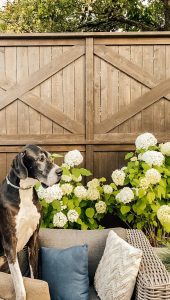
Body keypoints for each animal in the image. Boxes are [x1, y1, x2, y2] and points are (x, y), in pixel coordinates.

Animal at [0, 144, 62, 298]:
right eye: (40, 159)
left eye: (50, 158)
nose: (60, 172)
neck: (24, 191)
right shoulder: (10, 244)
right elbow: (20, 284)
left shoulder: (34, 240)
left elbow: (35, 276)